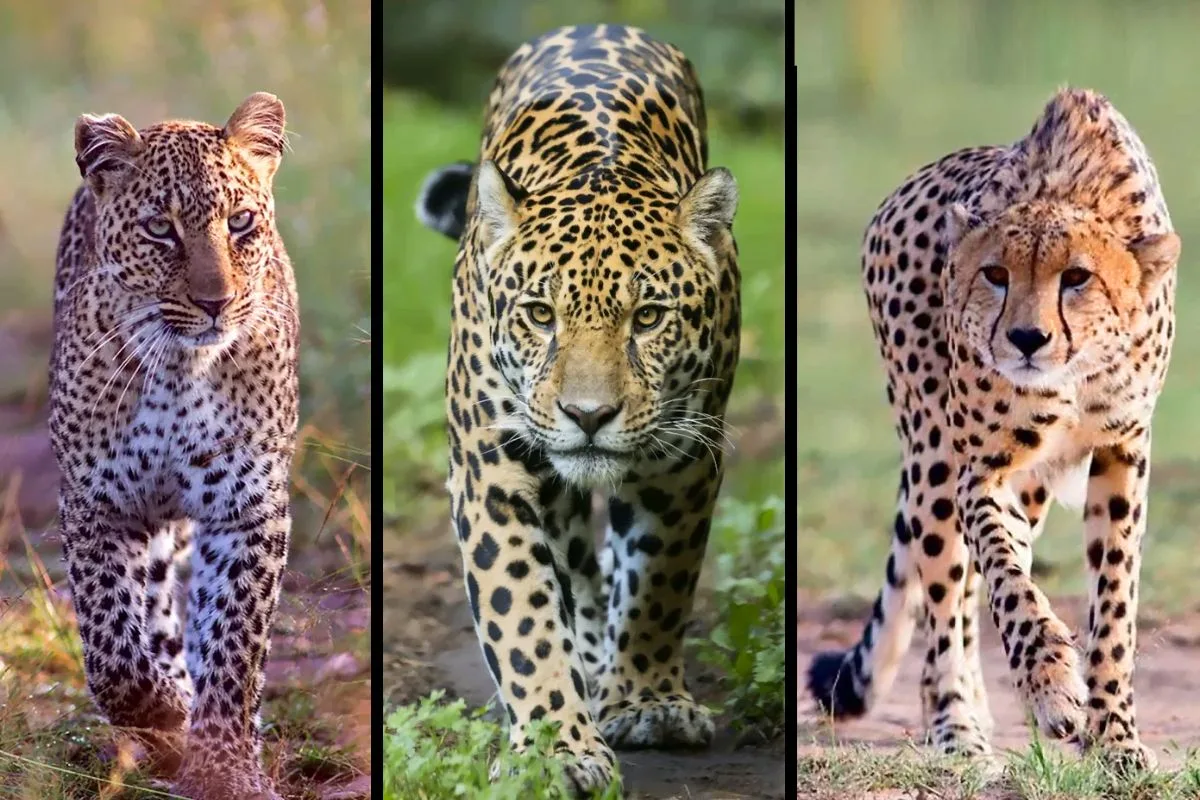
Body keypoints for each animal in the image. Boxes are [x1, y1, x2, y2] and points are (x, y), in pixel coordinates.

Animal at [49, 92, 299, 799]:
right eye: (162, 230)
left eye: (241, 222)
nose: (216, 302)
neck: (180, 374)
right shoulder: (97, 505)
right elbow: (111, 646)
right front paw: (163, 715)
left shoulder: (247, 510)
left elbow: (235, 646)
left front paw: (225, 767)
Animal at [414, 24, 741, 796]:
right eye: (540, 314)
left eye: (649, 317)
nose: (588, 415)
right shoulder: (492, 470)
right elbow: (523, 612)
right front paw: (554, 747)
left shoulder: (684, 464)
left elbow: (659, 585)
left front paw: (649, 703)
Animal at [807, 87, 1179, 770]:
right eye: (995, 275)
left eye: (1077, 277)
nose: (1027, 338)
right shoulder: (981, 469)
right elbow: (1009, 583)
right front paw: (1053, 685)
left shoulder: (1122, 452)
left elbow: (1114, 601)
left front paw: (1114, 737)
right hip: (933, 460)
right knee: (948, 597)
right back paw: (957, 727)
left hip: (1024, 487)